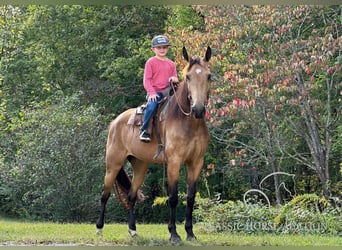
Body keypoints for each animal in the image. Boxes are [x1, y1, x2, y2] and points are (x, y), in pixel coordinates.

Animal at [95, 46, 211, 243]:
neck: (188, 123)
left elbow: (190, 198)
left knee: (132, 196)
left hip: (140, 165)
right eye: (188, 77)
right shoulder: (174, 162)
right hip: (113, 164)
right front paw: (174, 234)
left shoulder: (196, 162)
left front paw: (190, 233)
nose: (198, 109)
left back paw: (133, 230)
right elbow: (173, 198)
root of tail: (115, 122)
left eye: (209, 76)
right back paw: (99, 228)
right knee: (105, 194)